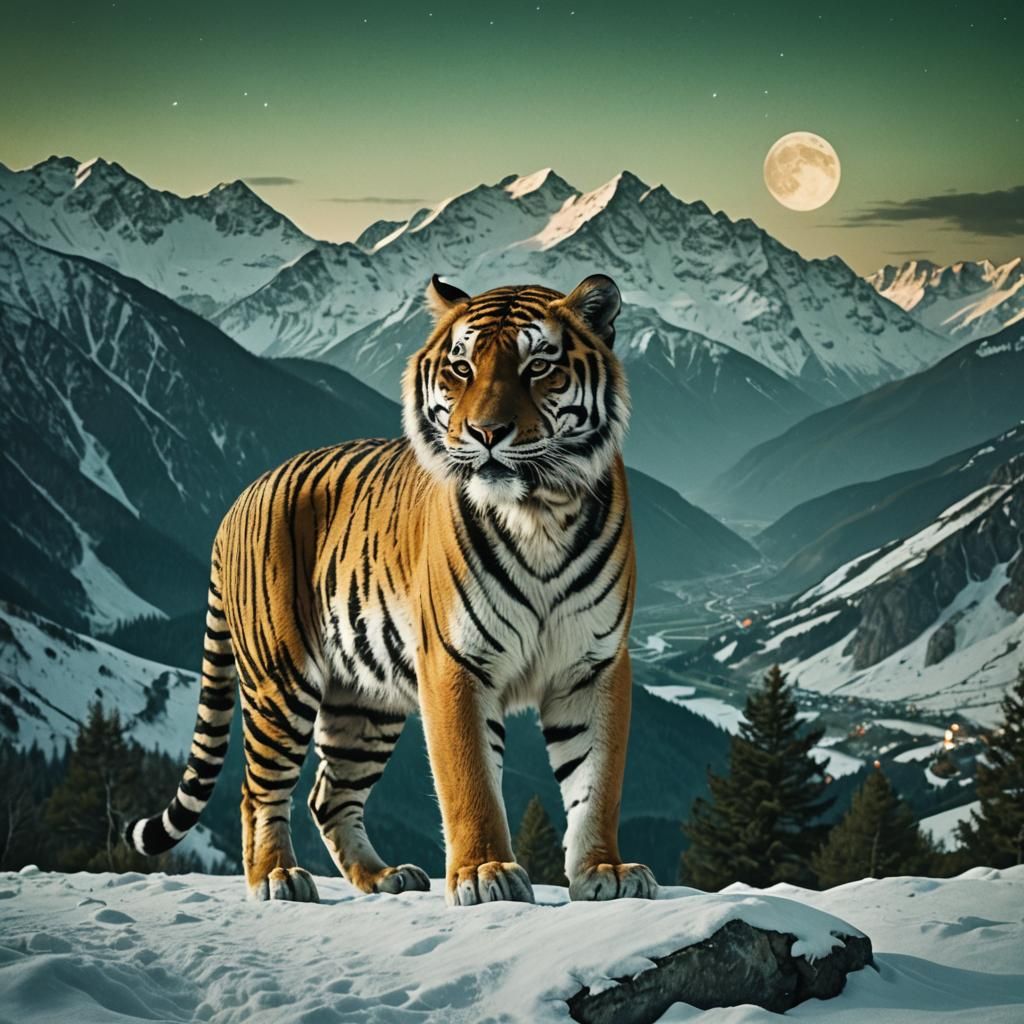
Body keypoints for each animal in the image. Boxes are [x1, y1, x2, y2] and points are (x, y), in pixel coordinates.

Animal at [127, 272, 657, 906]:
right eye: (462, 368)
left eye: (538, 366)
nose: (486, 433)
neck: (539, 512)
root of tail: (241, 497)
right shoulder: (456, 661)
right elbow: (470, 778)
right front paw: (486, 873)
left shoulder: (593, 663)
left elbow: (596, 781)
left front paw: (605, 871)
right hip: (280, 682)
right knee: (259, 791)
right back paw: (277, 877)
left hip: (363, 704)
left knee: (328, 795)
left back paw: (382, 877)